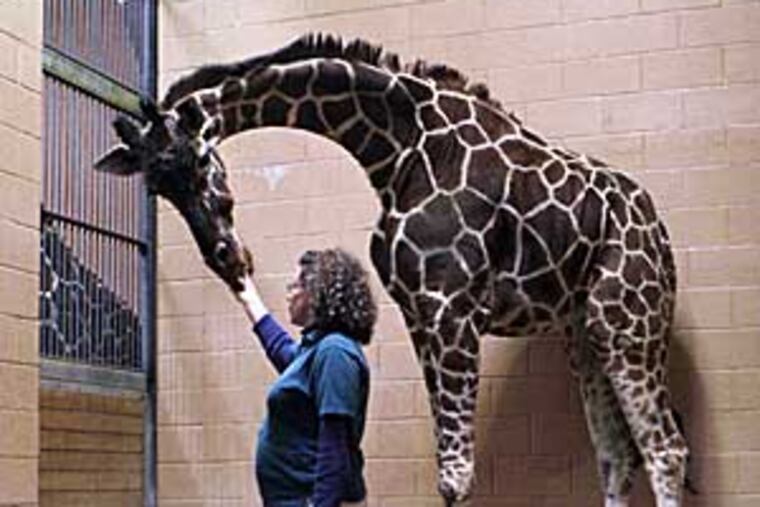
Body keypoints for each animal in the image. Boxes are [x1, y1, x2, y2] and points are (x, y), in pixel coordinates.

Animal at [95, 34, 690, 506]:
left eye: (200, 159)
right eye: (157, 188)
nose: (225, 255)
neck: (394, 149)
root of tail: (660, 234)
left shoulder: (452, 312)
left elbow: (456, 476)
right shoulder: (420, 316)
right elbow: (449, 469)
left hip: (629, 323)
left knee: (665, 449)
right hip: (583, 333)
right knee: (616, 454)